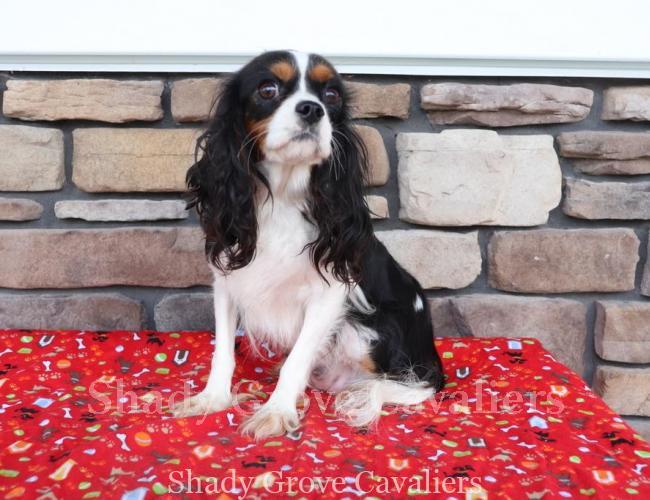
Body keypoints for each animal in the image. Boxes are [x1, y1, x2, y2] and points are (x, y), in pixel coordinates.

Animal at [172, 50, 444, 439]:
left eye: (331, 96)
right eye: (267, 89)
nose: (312, 109)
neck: (284, 197)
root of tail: (431, 359)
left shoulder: (330, 294)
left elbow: (298, 357)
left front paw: (277, 410)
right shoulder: (227, 280)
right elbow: (223, 351)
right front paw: (213, 398)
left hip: (366, 333)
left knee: (404, 381)